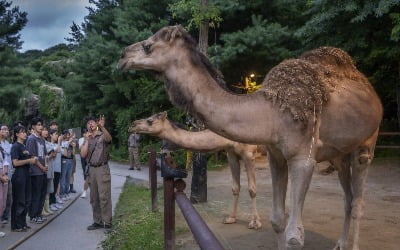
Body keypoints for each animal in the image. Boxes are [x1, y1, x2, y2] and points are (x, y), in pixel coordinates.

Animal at [130, 112, 264, 229]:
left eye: (150, 121)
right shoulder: (231, 154)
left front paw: (255, 223)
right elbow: (235, 187)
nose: (132, 125)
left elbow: (252, 189)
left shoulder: (249, 153)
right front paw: (230, 218)